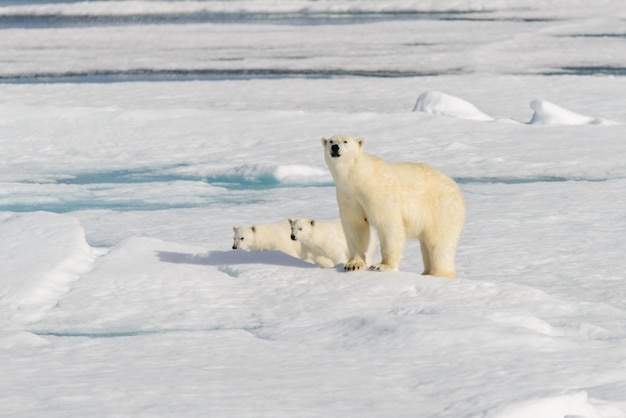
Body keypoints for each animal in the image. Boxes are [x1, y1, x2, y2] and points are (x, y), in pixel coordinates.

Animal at [322, 135, 464, 278]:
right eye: (331, 141)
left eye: (345, 141)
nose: (335, 147)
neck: (358, 177)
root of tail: (456, 188)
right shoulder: (348, 196)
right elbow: (355, 225)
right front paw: (353, 264)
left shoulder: (378, 191)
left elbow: (388, 223)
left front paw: (381, 266)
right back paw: (426, 272)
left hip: (441, 209)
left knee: (439, 243)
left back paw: (438, 273)